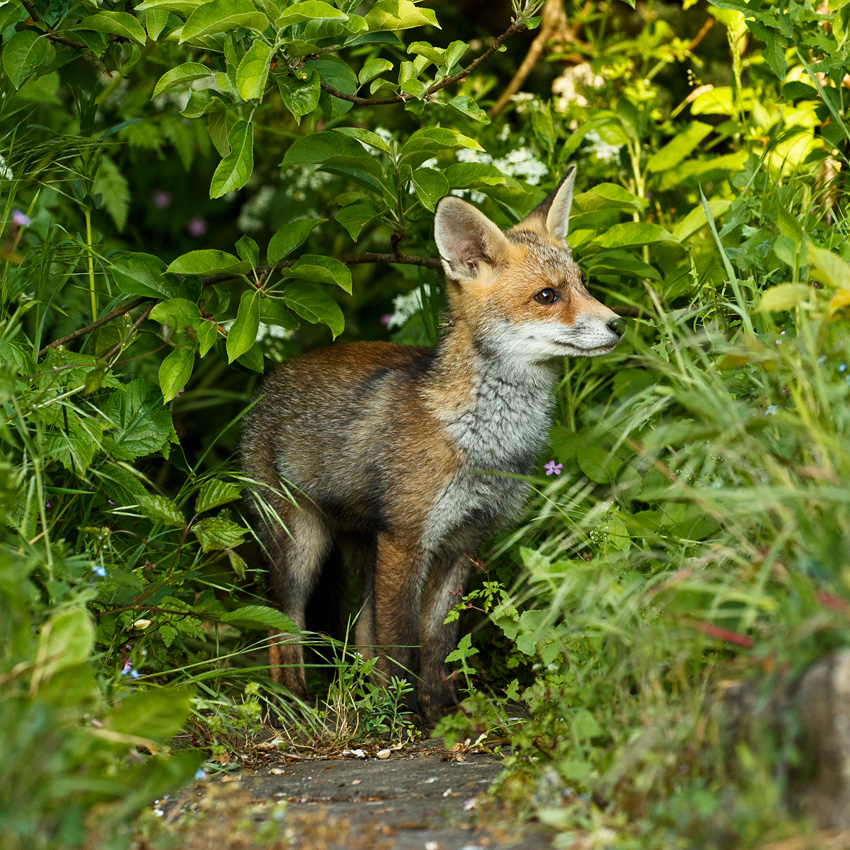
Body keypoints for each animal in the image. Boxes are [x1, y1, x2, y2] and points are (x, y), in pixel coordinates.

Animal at [241, 167, 625, 726]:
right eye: (547, 296)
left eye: (583, 284)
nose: (618, 324)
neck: (485, 439)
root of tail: (271, 381)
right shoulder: (408, 538)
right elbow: (402, 641)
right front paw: (403, 719)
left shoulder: (462, 541)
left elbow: (439, 642)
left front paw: (442, 711)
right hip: (300, 545)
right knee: (283, 625)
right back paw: (292, 703)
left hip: (363, 549)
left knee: (361, 633)